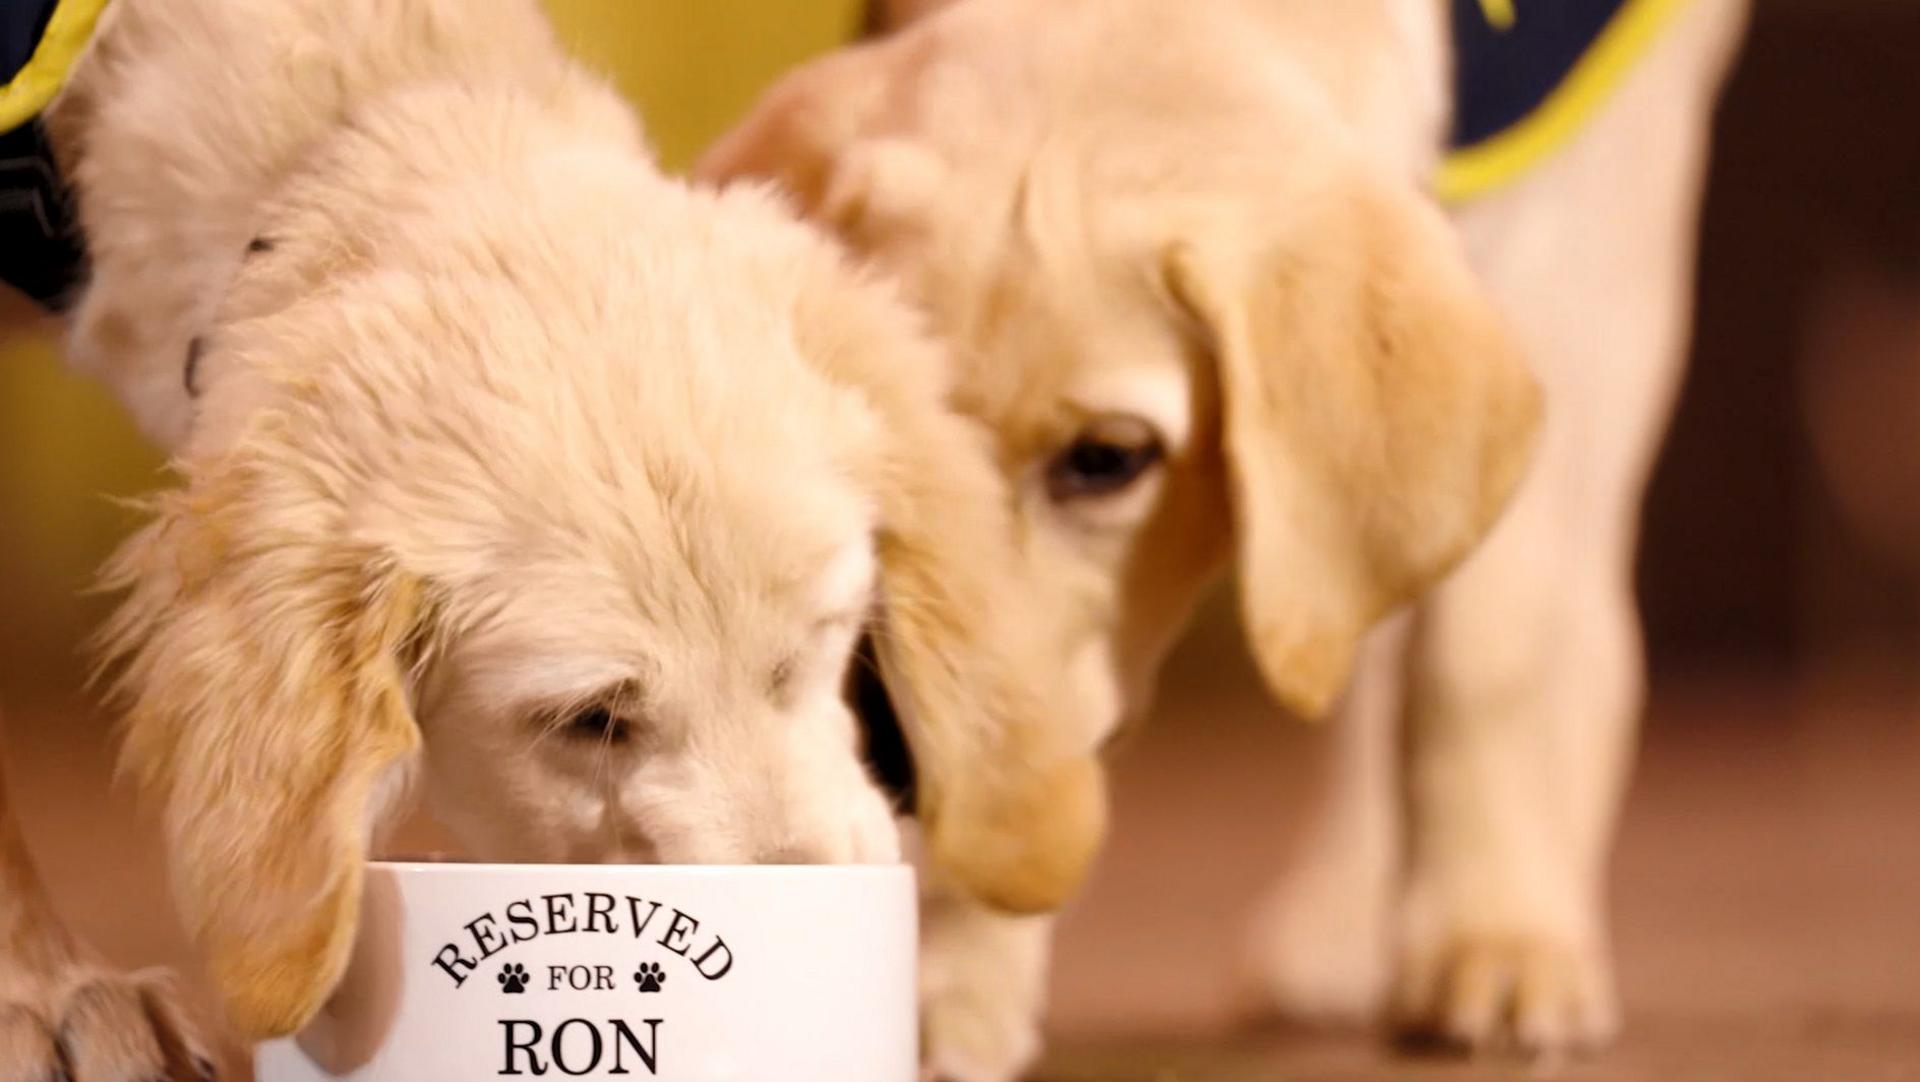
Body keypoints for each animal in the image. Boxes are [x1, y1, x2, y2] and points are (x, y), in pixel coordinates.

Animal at [710, 0, 1758, 1074]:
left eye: (1107, 460)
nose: (889, 742)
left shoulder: (1574, 215)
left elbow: (1483, 650)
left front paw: (1500, 933)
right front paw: (953, 982)